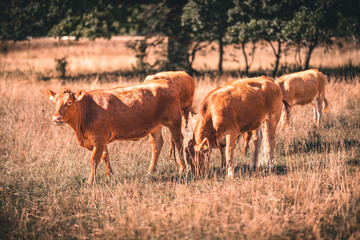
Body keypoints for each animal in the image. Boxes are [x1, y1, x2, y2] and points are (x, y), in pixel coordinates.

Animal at [46, 79, 186, 185]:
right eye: (54, 103)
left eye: (69, 102)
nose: (56, 118)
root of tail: (164, 81)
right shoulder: (101, 140)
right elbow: (105, 156)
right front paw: (110, 176)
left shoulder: (99, 138)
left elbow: (94, 159)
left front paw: (90, 181)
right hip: (155, 127)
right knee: (157, 145)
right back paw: (150, 172)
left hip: (174, 122)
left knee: (178, 142)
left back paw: (182, 170)